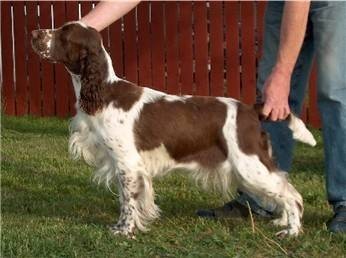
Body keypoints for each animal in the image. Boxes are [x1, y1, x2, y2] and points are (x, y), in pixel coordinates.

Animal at [32, 21, 316, 238]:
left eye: (64, 34)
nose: (34, 33)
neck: (104, 92)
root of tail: (250, 109)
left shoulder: (127, 163)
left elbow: (127, 202)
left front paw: (123, 231)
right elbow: (130, 199)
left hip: (250, 166)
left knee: (292, 195)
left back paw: (291, 231)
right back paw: (283, 221)